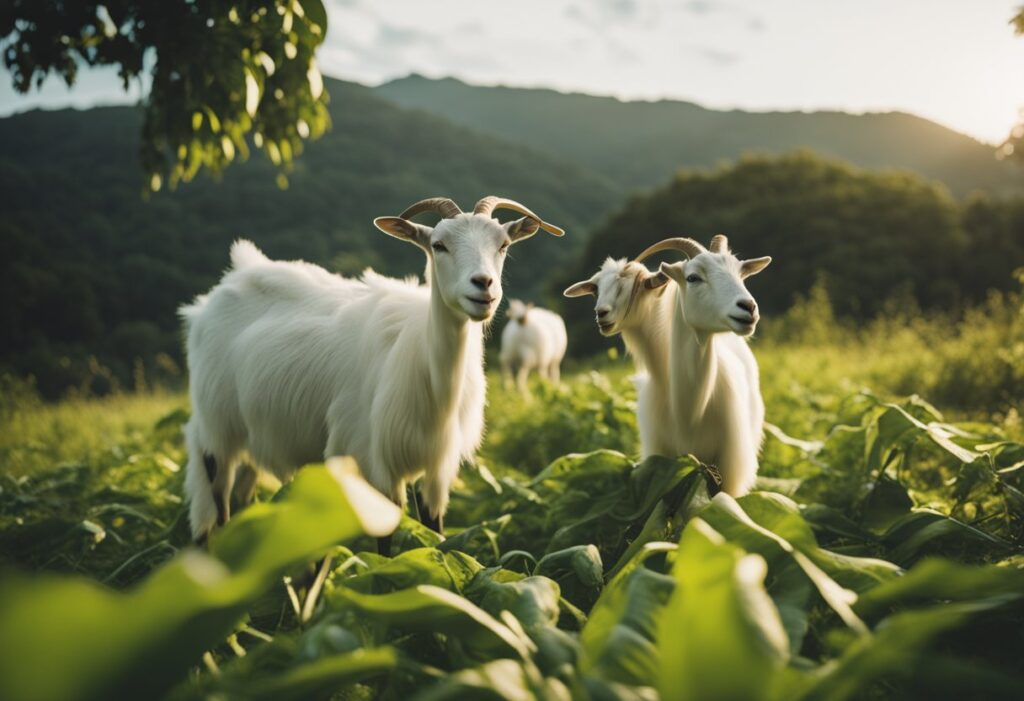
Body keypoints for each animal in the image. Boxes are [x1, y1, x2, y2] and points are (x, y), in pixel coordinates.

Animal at [180, 196, 564, 552]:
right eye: (438, 245)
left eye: (503, 244)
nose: (483, 285)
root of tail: (230, 280)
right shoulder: (375, 460)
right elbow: (385, 543)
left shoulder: (436, 468)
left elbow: (436, 532)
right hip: (216, 426)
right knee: (217, 505)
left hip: (256, 432)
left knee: (243, 497)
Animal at [564, 235, 770, 495]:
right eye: (693, 277)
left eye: (741, 274)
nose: (748, 307)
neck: (691, 411)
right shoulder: (664, 461)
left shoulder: (731, 470)